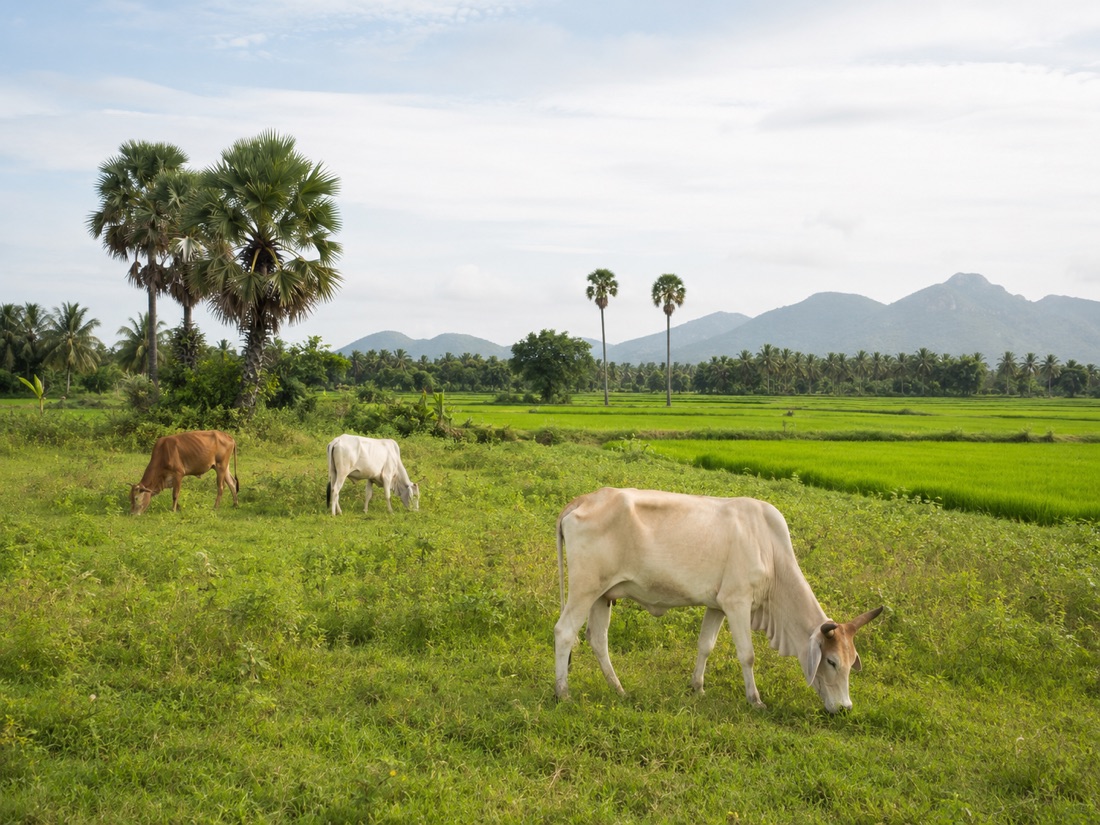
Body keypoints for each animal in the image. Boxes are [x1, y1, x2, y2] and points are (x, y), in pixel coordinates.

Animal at [554, 487, 883, 713]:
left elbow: (705, 646)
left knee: (598, 640)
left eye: (852, 661)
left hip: (602, 595)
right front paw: (755, 700)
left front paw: (697, 688)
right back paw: (563, 692)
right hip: (584, 588)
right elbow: (747, 655)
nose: (845, 708)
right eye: (831, 661)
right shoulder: (737, 603)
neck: (770, 549)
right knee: (565, 632)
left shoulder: (716, 605)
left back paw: (619, 689)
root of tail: (582, 500)